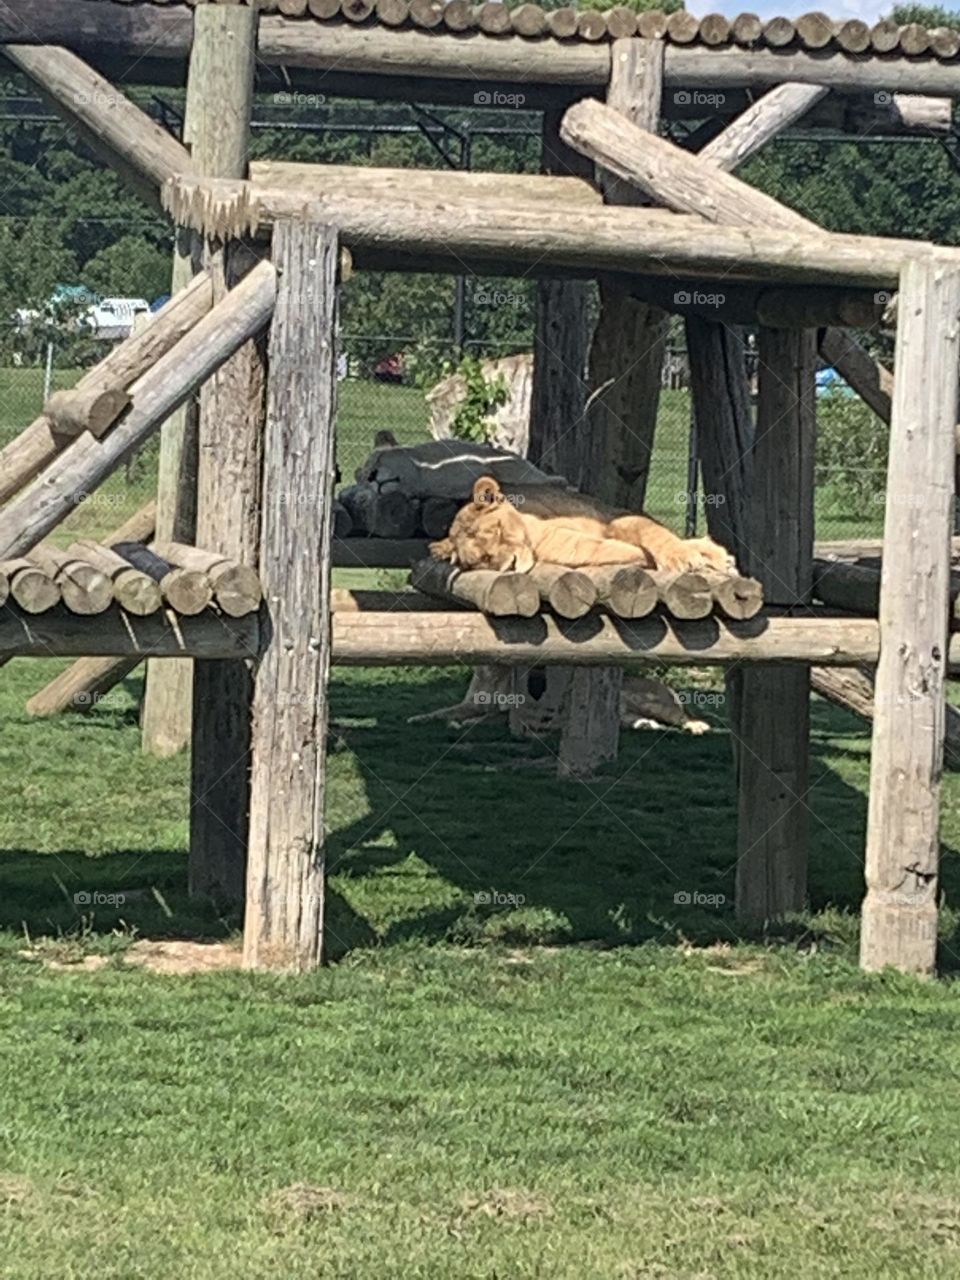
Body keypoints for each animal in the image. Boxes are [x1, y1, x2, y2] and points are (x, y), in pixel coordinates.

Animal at [432, 478, 732, 578]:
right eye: (483, 559)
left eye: (497, 530)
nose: (511, 564)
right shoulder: (574, 547)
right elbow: (621, 550)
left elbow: (651, 536)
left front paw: (684, 558)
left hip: (609, 512)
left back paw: (718, 556)